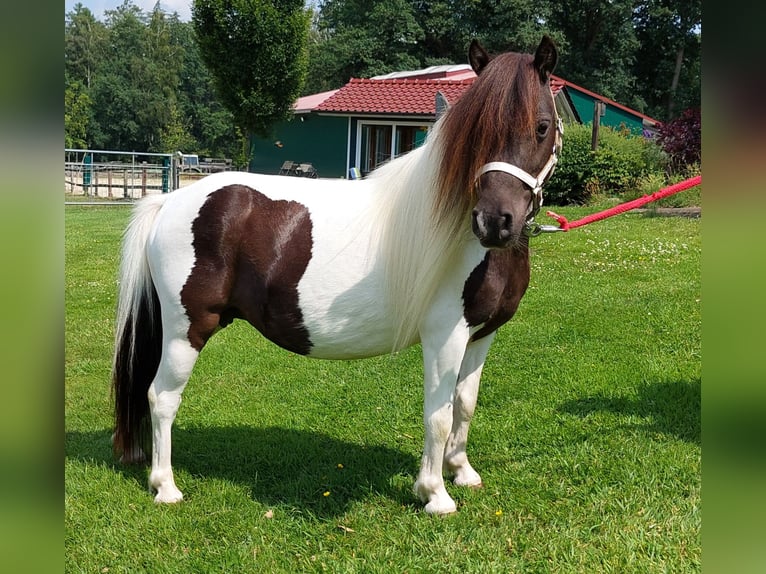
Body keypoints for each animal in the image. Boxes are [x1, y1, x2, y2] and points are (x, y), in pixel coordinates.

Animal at [111, 37, 560, 516]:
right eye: (477, 133)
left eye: (542, 127)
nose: (494, 222)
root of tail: (170, 201)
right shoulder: (446, 334)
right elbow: (437, 414)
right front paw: (434, 493)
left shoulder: (481, 334)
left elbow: (465, 404)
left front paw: (462, 472)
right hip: (187, 330)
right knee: (161, 398)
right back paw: (165, 486)